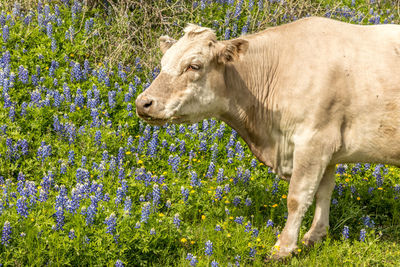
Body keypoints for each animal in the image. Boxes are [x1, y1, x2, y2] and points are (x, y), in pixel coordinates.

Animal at [136, 17, 400, 260]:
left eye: (194, 66)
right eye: (163, 63)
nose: (142, 103)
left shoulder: (313, 141)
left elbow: (297, 198)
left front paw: (282, 248)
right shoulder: (327, 150)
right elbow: (323, 192)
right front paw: (314, 236)